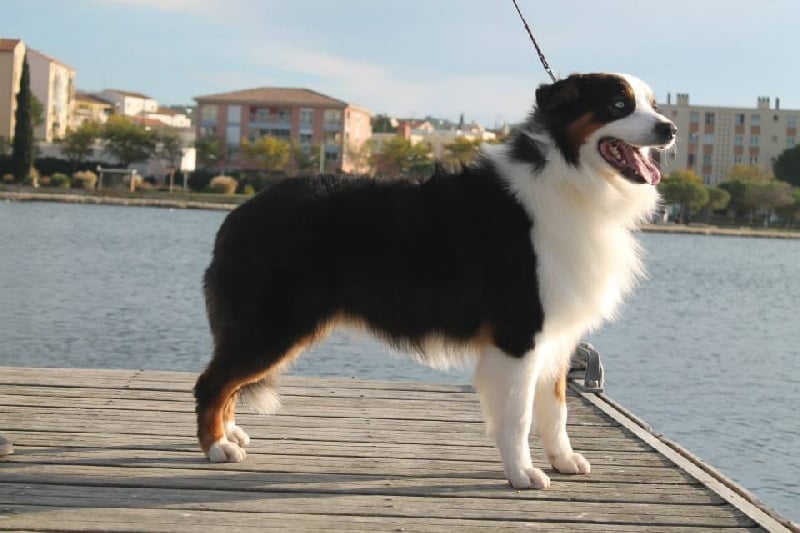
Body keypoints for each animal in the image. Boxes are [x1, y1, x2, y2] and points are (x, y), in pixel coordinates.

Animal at [194, 73, 676, 489]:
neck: (570, 178)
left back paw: (230, 434)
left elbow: (555, 409)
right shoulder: (519, 333)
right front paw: (522, 474)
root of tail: (239, 212)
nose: (670, 128)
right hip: (273, 326)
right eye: (618, 104)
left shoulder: (555, 331)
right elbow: (518, 415)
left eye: (653, 104)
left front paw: (563, 460)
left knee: (227, 382)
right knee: (212, 382)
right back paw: (217, 447)